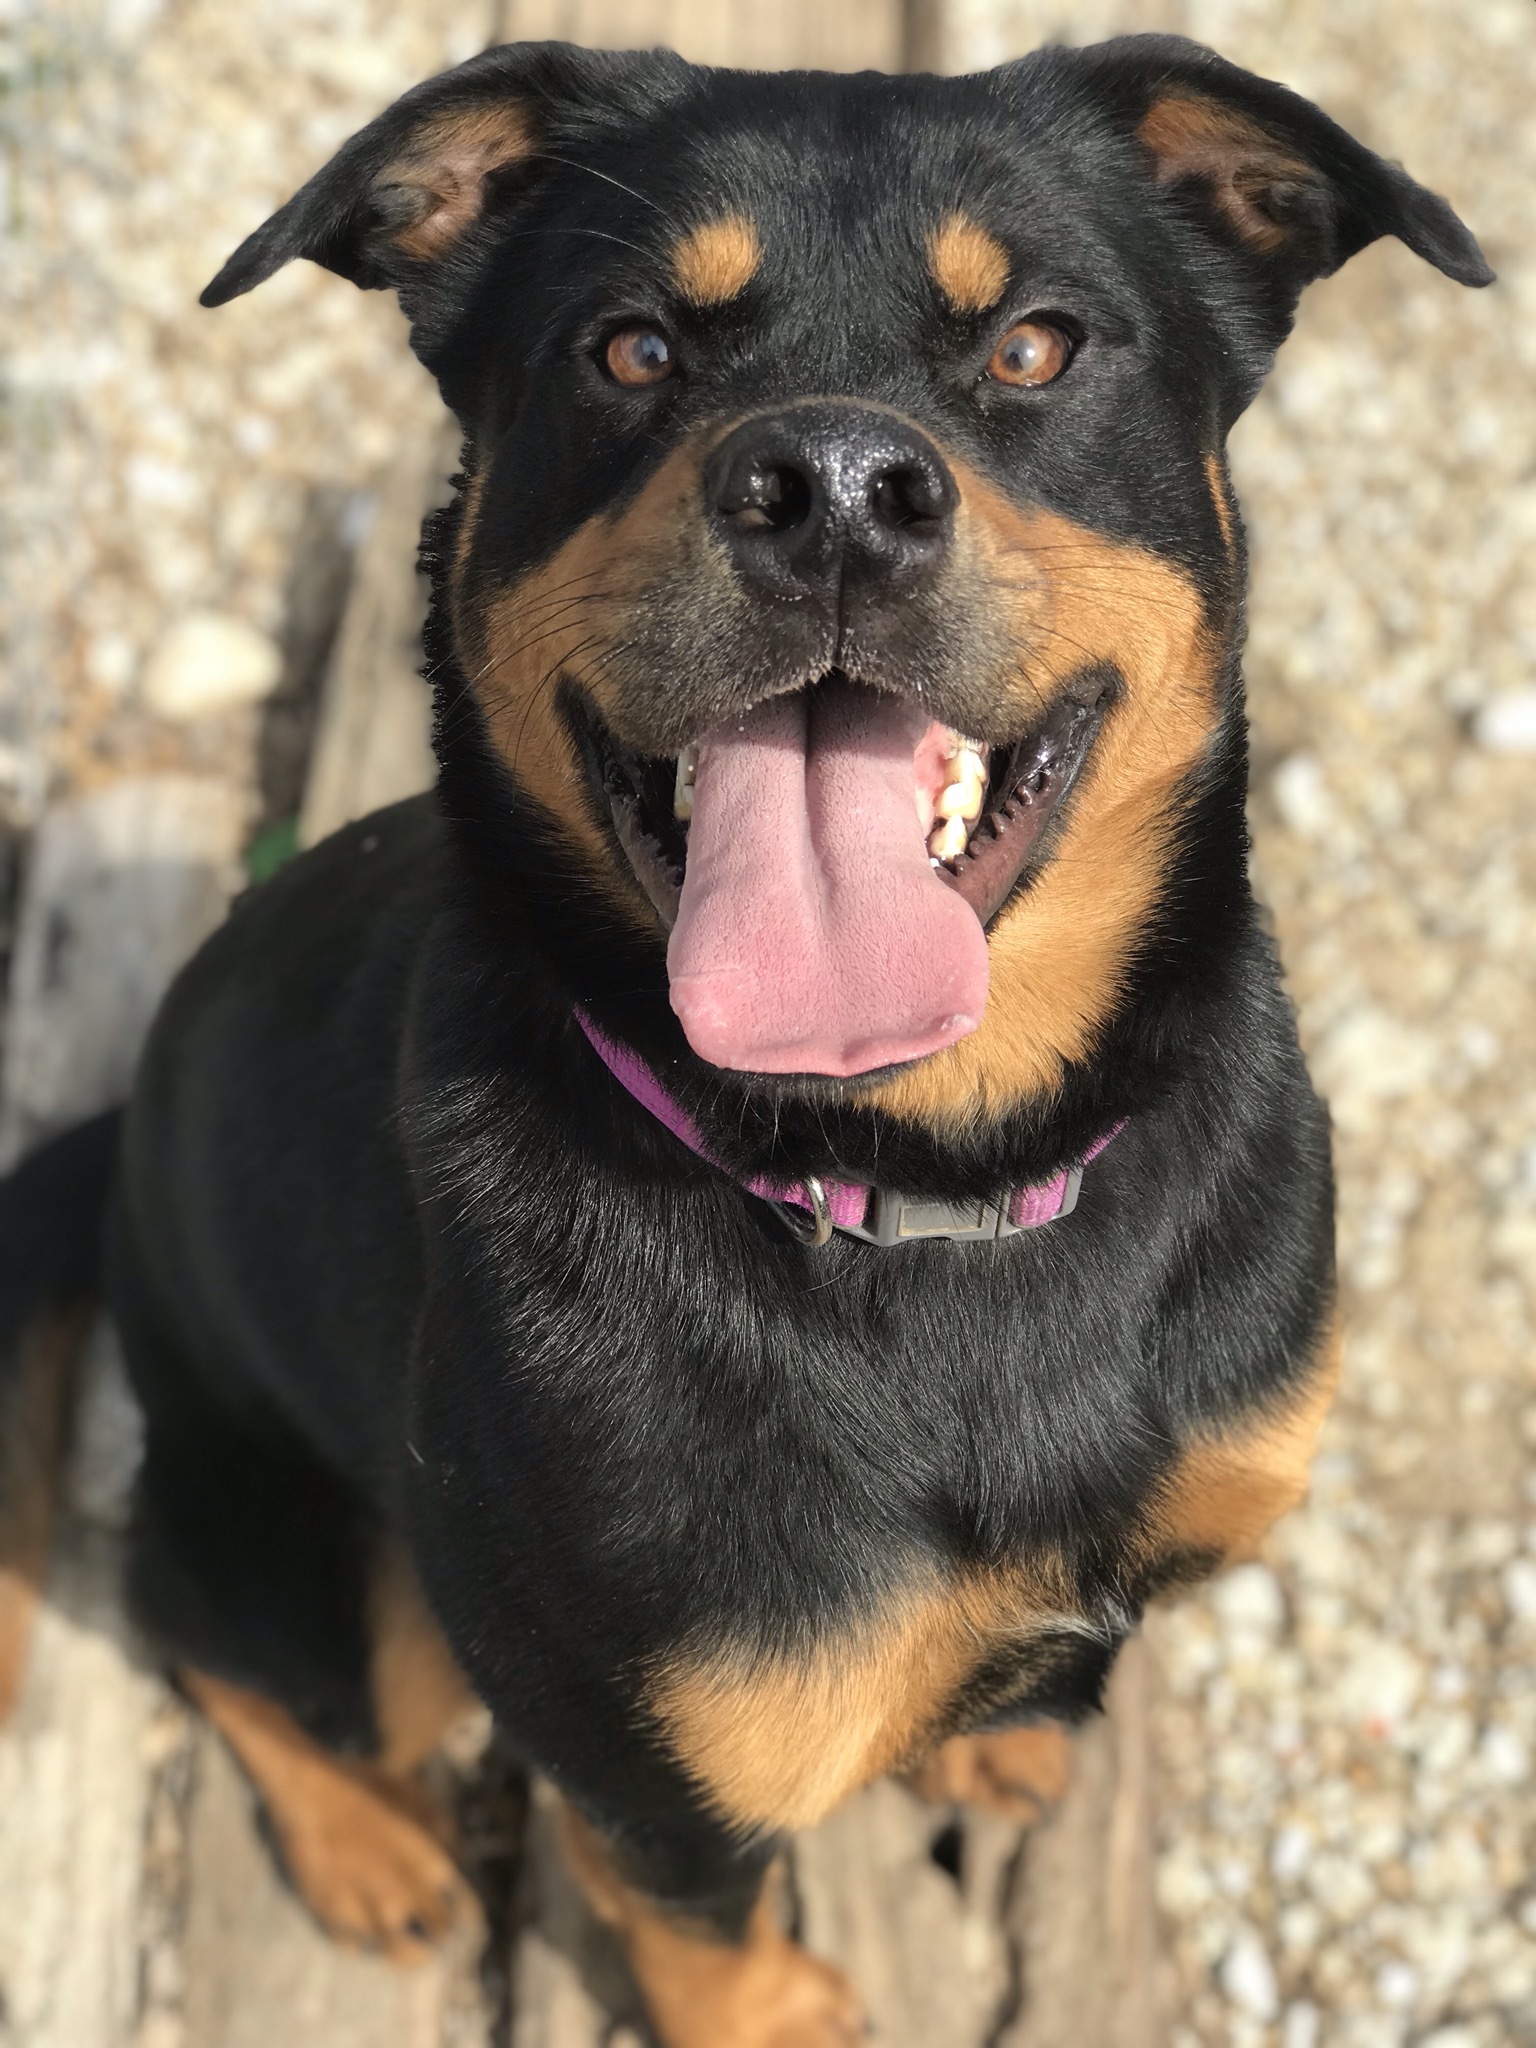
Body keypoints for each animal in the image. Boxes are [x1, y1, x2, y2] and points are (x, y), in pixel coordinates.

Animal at [0, 36, 1490, 2048]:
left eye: (1035, 345)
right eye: (630, 349)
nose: (835, 487)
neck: (917, 1181)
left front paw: (992, 1739)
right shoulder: (650, 1767)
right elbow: (708, 1941)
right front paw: (782, 2001)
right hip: (323, 1560)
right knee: (203, 1629)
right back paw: (368, 1845)